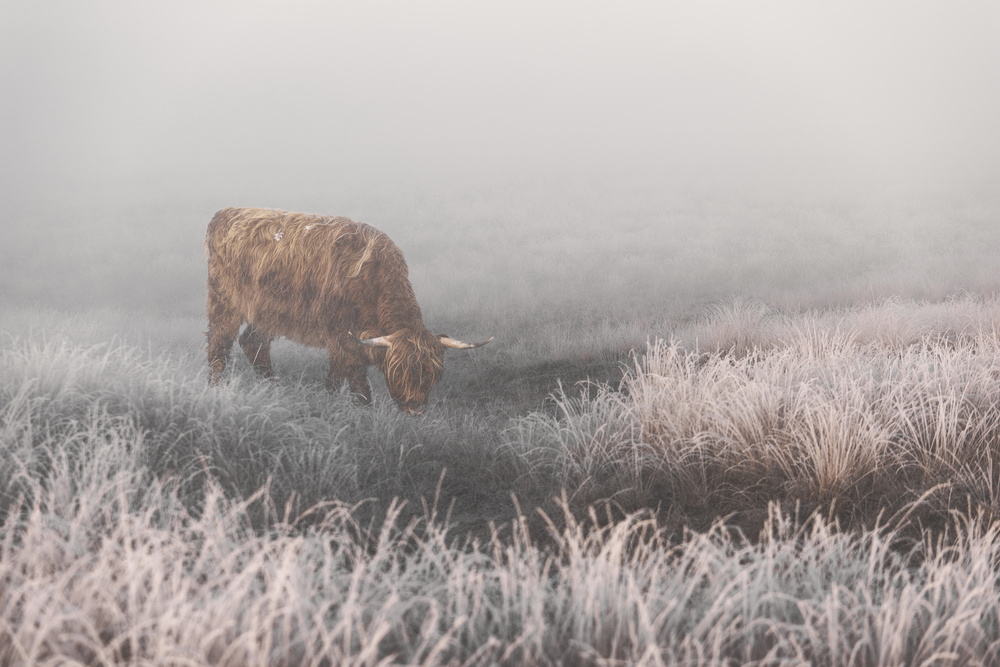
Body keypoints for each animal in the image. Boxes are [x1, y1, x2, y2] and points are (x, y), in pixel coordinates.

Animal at [204, 206, 492, 414]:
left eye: (432, 373)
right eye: (397, 371)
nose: (414, 410)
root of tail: (226, 213)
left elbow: (338, 376)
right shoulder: (342, 337)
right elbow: (351, 381)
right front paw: (359, 411)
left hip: (267, 311)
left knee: (253, 342)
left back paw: (272, 387)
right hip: (224, 302)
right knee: (219, 345)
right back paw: (216, 388)